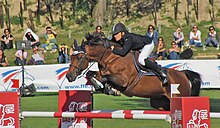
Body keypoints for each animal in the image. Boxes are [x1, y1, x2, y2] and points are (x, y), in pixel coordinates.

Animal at [66, 34, 202, 110]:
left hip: (179, 96)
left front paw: (109, 89)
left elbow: (106, 78)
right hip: (160, 102)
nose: (69, 76)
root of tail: (183, 74)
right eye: (71, 57)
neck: (110, 57)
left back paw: (163, 74)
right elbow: (91, 74)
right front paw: (101, 88)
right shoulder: (102, 72)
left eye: (79, 57)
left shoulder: (123, 80)